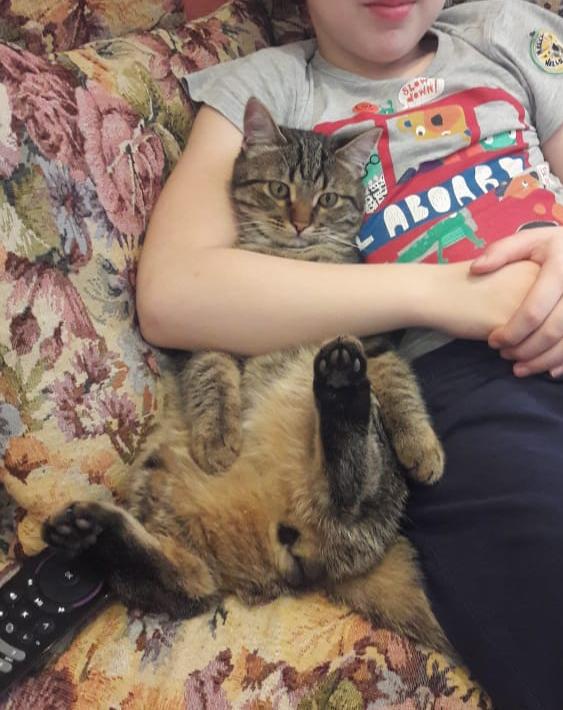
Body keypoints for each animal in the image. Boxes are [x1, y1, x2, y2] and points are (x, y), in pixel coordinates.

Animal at [43, 98, 451, 654]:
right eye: (279, 189)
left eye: (326, 199)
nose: (299, 224)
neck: (291, 260)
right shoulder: (210, 331)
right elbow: (212, 376)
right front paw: (217, 437)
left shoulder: (377, 340)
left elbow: (402, 389)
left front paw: (422, 447)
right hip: (170, 508)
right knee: (185, 584)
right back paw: (90, 534)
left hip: (360, 484)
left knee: (350, 488)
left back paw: (341, 389)